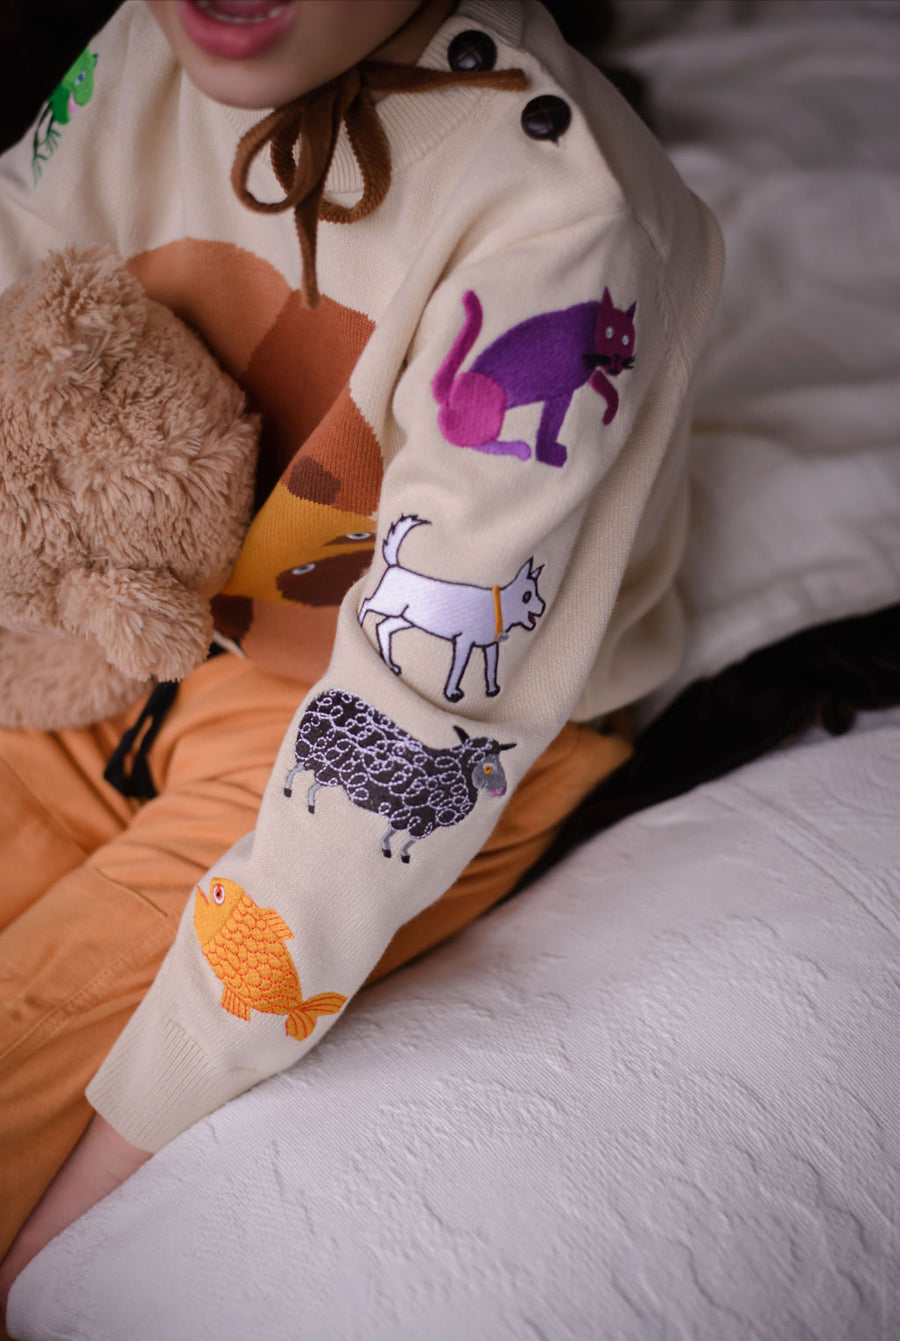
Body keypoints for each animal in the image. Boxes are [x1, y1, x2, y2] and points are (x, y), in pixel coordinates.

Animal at [285, 686, 517, 863]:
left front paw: (398, 853)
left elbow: (404, 838)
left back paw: (309, 804)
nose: (503, 789)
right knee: (296, 771)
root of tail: (326, 694)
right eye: (488, 767)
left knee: (311, 784)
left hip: (329, 770)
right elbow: (399, 835)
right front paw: (390, 850)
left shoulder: (420, 821)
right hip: (314, 755)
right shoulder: (413, 817)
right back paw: (288, 790)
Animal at [356, 512, 541, 702]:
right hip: (388, 605)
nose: (542, 606)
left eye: (537, 593)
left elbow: (491, 669)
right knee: (367, 603)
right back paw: (361, 621)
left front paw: (492, 689)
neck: (499, 607)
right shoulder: (463, 642)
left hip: (405, 620)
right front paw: (452, 693)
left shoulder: (490, 646)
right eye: (527, 596)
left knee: (382, 627)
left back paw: (391, 665)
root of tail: (395, 566)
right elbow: (458, 670)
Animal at [431, 288, 638, 466]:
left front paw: (609, 414)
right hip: (495, 398)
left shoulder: (588, 375)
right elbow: (549, 426)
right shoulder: (561, 392)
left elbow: (608, 389)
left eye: (626, 340)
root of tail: (450, 393)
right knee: (473, 441)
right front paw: (549, 455)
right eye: (609, 333)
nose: (618, 359)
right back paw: (519, 448)